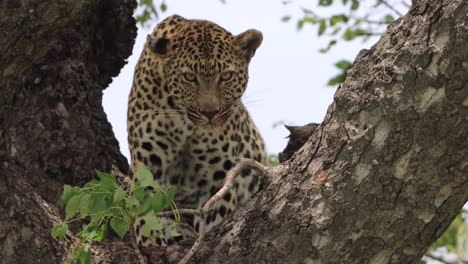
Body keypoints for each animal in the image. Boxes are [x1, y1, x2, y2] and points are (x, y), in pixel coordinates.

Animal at [127, 13, 266, 245]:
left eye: (226, 76)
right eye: (189, 77)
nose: (210, 112)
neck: (186, 126)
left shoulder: (218, 175)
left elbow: (213, 218)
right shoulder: (148, 164)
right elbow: (146, 213)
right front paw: (151, 243)